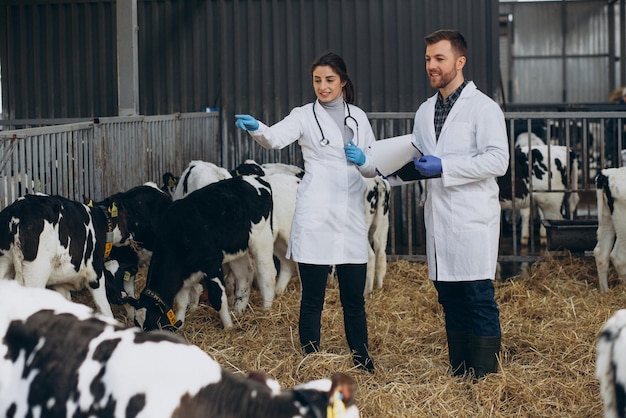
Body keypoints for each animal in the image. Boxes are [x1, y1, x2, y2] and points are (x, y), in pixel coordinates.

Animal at [135, 174, 274, 330]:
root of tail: (255, 178)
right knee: (245, 276)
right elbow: (181, 302)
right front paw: (180, 324)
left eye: (151, 324)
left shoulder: (212, 265)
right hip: (237, 249)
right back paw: (238, 310)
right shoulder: (183, 276)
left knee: (266, 274)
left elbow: (218, 298)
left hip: (262, 240)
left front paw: (228, 327)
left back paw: (266, 311)